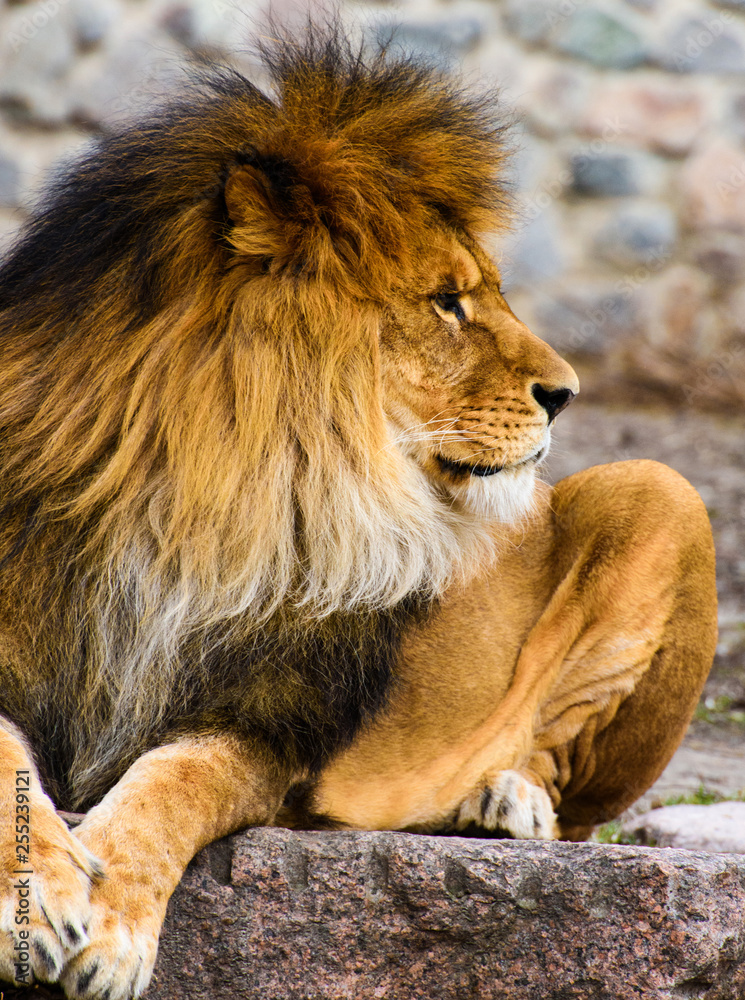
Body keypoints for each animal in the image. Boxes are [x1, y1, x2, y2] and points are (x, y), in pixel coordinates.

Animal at [0, 23, 716, 1000]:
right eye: (447, 301)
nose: (567, 393)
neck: (192, 494)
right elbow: (7, 764)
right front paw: (37, 895)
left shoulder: (270, 721)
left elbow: (175, 783)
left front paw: (110, 925)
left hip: (660, 490)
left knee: (568, 797)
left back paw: (504, 802)